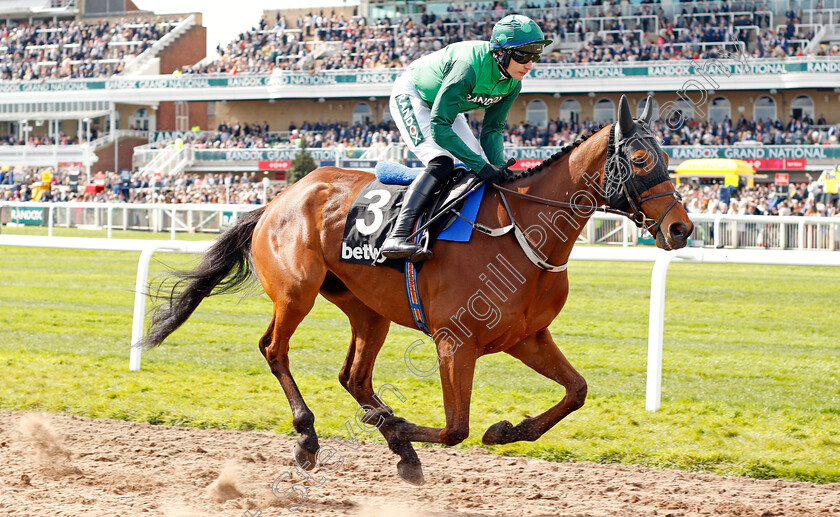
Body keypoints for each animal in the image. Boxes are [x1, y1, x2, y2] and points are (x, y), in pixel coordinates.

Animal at [139, 95, 688, 484]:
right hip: (296, 292)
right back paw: (310, 437)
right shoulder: (455, 342)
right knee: (274, 349)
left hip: (368, 309)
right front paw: (402, 426)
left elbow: (576, 391)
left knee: (354, 375)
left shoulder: (527, 336)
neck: (522, 231)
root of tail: (279, 198)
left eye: (669, 159)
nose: (680, 228)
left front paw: (506, 430)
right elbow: (455, 428)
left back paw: (396, 444)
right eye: (641, 159)